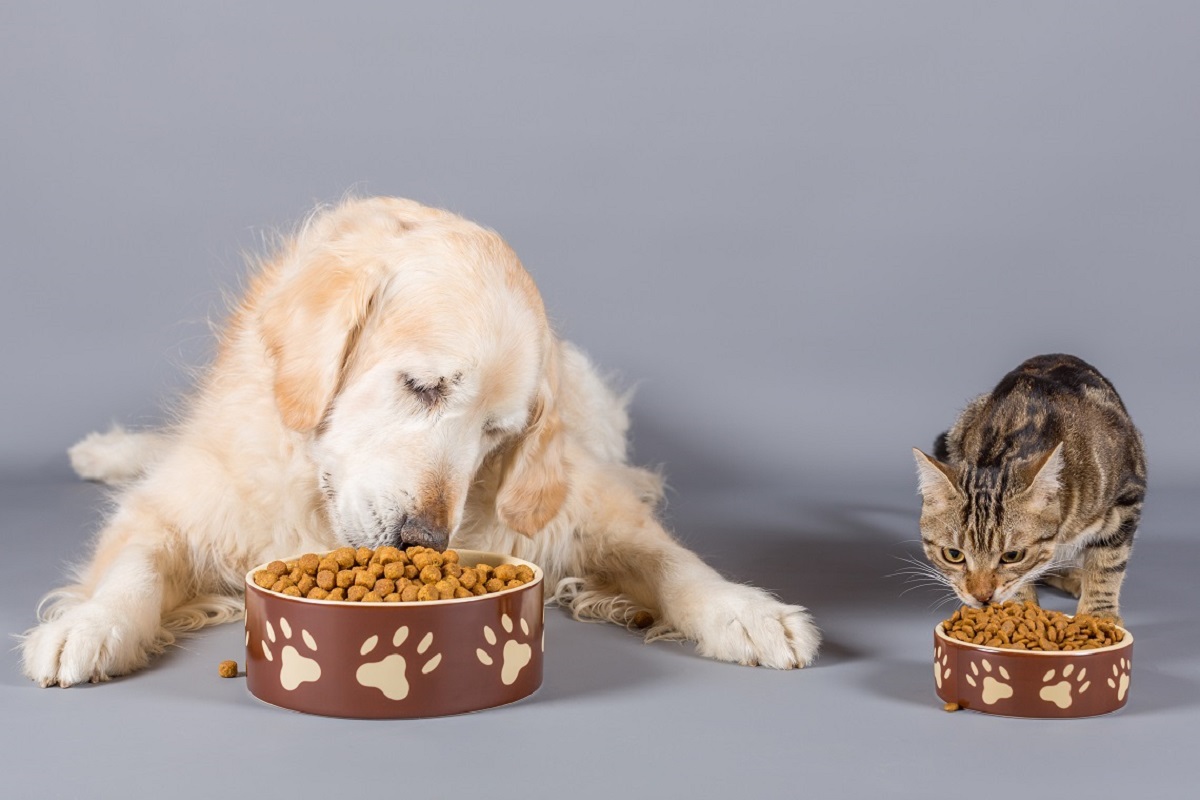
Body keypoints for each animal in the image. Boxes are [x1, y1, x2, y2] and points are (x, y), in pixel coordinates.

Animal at [21, 195, 825, 690]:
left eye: (498, 432)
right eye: (424, 386)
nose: (423, 540)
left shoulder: (583, 509)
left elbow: (673, 561)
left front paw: (746, 613)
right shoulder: (178, 508)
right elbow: (132, 567)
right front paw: (88, 627)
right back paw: (107, 451)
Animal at [912, 352, 1147, 623]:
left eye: (1012, 556)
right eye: (953, 554)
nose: (982, 597)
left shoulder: (1126, 498)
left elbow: (1107, 564)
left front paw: (1098, 616)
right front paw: (1018, 609)